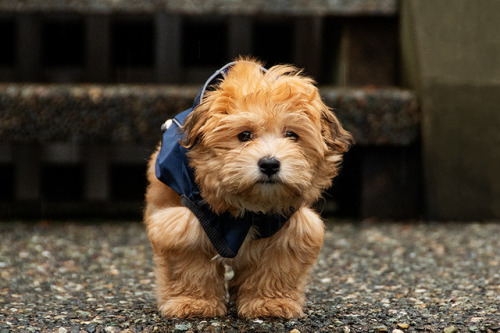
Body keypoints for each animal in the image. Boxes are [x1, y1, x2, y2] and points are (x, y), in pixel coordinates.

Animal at [143, 57, 350, 320]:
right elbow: (191, 266)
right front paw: (193, 302)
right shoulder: (184, 224)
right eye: (244, 135)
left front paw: (270, 303)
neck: (249, 207)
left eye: (292, 135)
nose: (270, 164)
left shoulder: (288, 229)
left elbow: (275, 267)